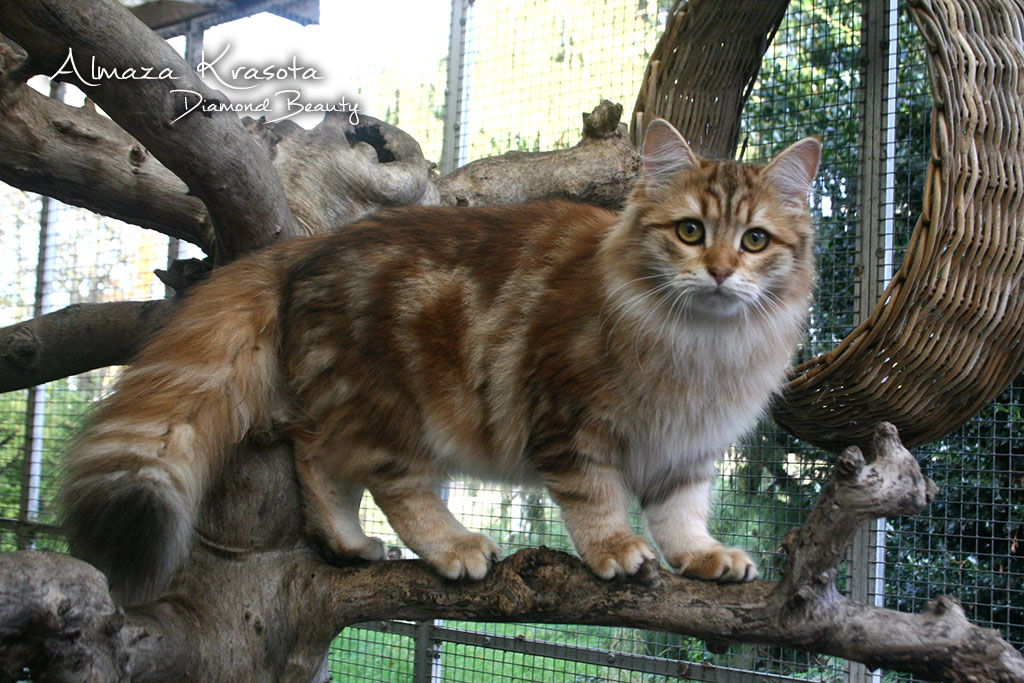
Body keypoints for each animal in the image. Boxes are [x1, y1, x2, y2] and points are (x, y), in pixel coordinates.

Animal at [59, 119, 820, 604]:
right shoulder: (570, 424)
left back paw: (347, 544)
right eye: (690, 231)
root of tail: (313, 245)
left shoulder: (687, 449)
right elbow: (595, 499)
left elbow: (681, 515)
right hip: (396, 406)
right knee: (387, 483)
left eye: (755, 240)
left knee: (316, 459)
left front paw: (701, 557)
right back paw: (453, 547)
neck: (703, 348)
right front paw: (614, 550)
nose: (720, 271)